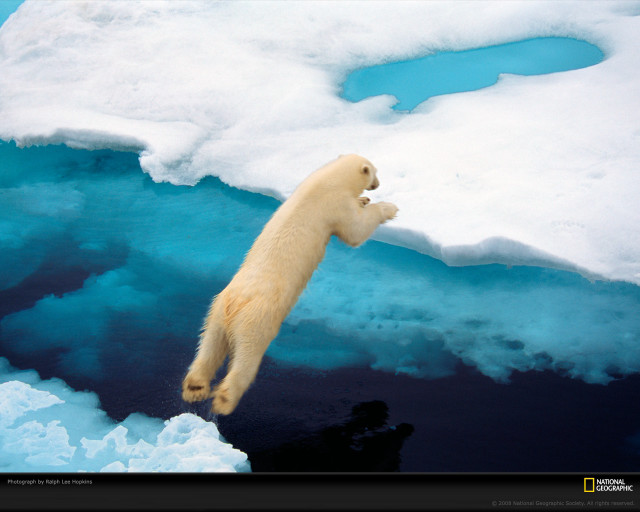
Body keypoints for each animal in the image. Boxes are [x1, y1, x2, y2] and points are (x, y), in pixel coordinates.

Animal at [181, 154, 398, 415]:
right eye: (375, 172)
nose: (377, 184)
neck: (327, 179)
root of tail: (235, 305)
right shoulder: (335, 205)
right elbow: (356, 231)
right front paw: (389, 208)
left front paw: (364, 199)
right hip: (256, 320)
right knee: (247, 357)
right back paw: (224, 399)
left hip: (215, 312)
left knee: (209, 346)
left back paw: (195, 388)